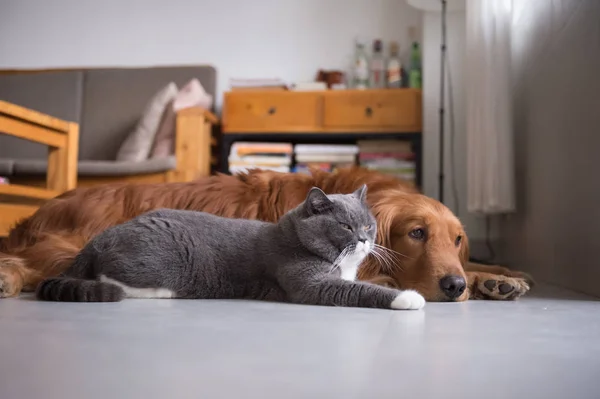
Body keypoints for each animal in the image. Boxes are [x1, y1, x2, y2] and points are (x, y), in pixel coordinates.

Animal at [35, 186, 424, 310]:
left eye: (368, 225)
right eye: (345, 226)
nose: (364, 238)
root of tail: (99, 238)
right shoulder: (310, 283)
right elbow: (359, 289)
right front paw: (410, 297)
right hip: (161, 262)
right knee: (114, 280)